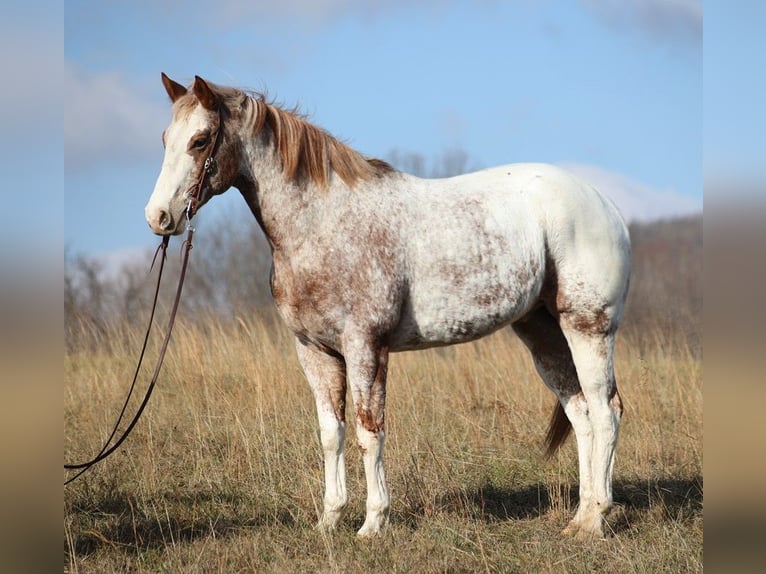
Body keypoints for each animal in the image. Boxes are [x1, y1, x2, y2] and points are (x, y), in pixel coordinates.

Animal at [147, 74, 632, 544]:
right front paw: (329, 520)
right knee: (582, 414)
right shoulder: (314, 351)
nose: (159, 218)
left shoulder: (365, 347)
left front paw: (372, 523)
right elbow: (331, 434)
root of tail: (606, 206)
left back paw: (596, 519)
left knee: (606, 411)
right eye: (166, 138)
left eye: (200, 140)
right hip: (543, 334)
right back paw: (579, 518)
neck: (324, 223)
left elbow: (369, 432)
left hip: (587, 327)